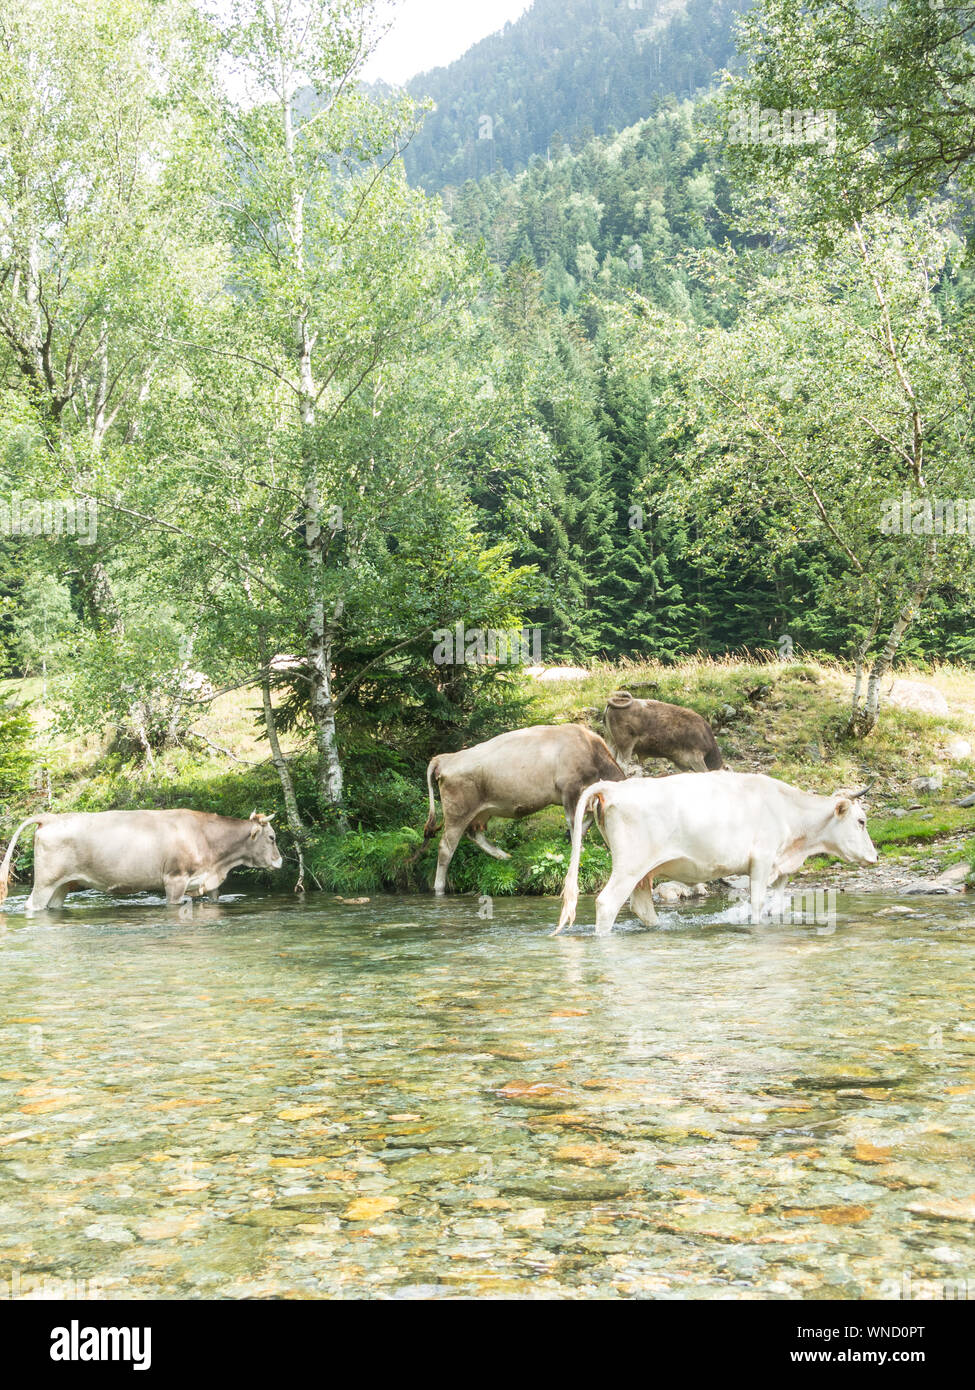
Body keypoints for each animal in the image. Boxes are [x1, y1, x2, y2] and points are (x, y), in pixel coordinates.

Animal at [0, 806, 280, 911]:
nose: (280, 861)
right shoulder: (175, 880)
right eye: (272, 837)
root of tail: (50, 817)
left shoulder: (208, 883)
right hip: (45, 882)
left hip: (62, 885)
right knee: (32, 905)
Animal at [420, 722, 620, 895]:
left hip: (481, 811)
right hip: (458, 811)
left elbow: (589, 818)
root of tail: (446, 758)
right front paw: (579, 846)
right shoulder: (570, 789)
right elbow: (574, 821)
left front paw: (570, 838)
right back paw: (439, 888)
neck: (591, 750)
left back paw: (505, 856)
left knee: (475, 834)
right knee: (446, 848)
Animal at [550, 772, 879, 934]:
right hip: (629, 865)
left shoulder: (780, 867)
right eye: (861, 821)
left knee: (642, 906)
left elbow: (776, 905)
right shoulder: (761, 860)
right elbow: (757, 905)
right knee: (607, 903)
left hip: (644, 871)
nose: (875, 857)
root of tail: (613, 787)